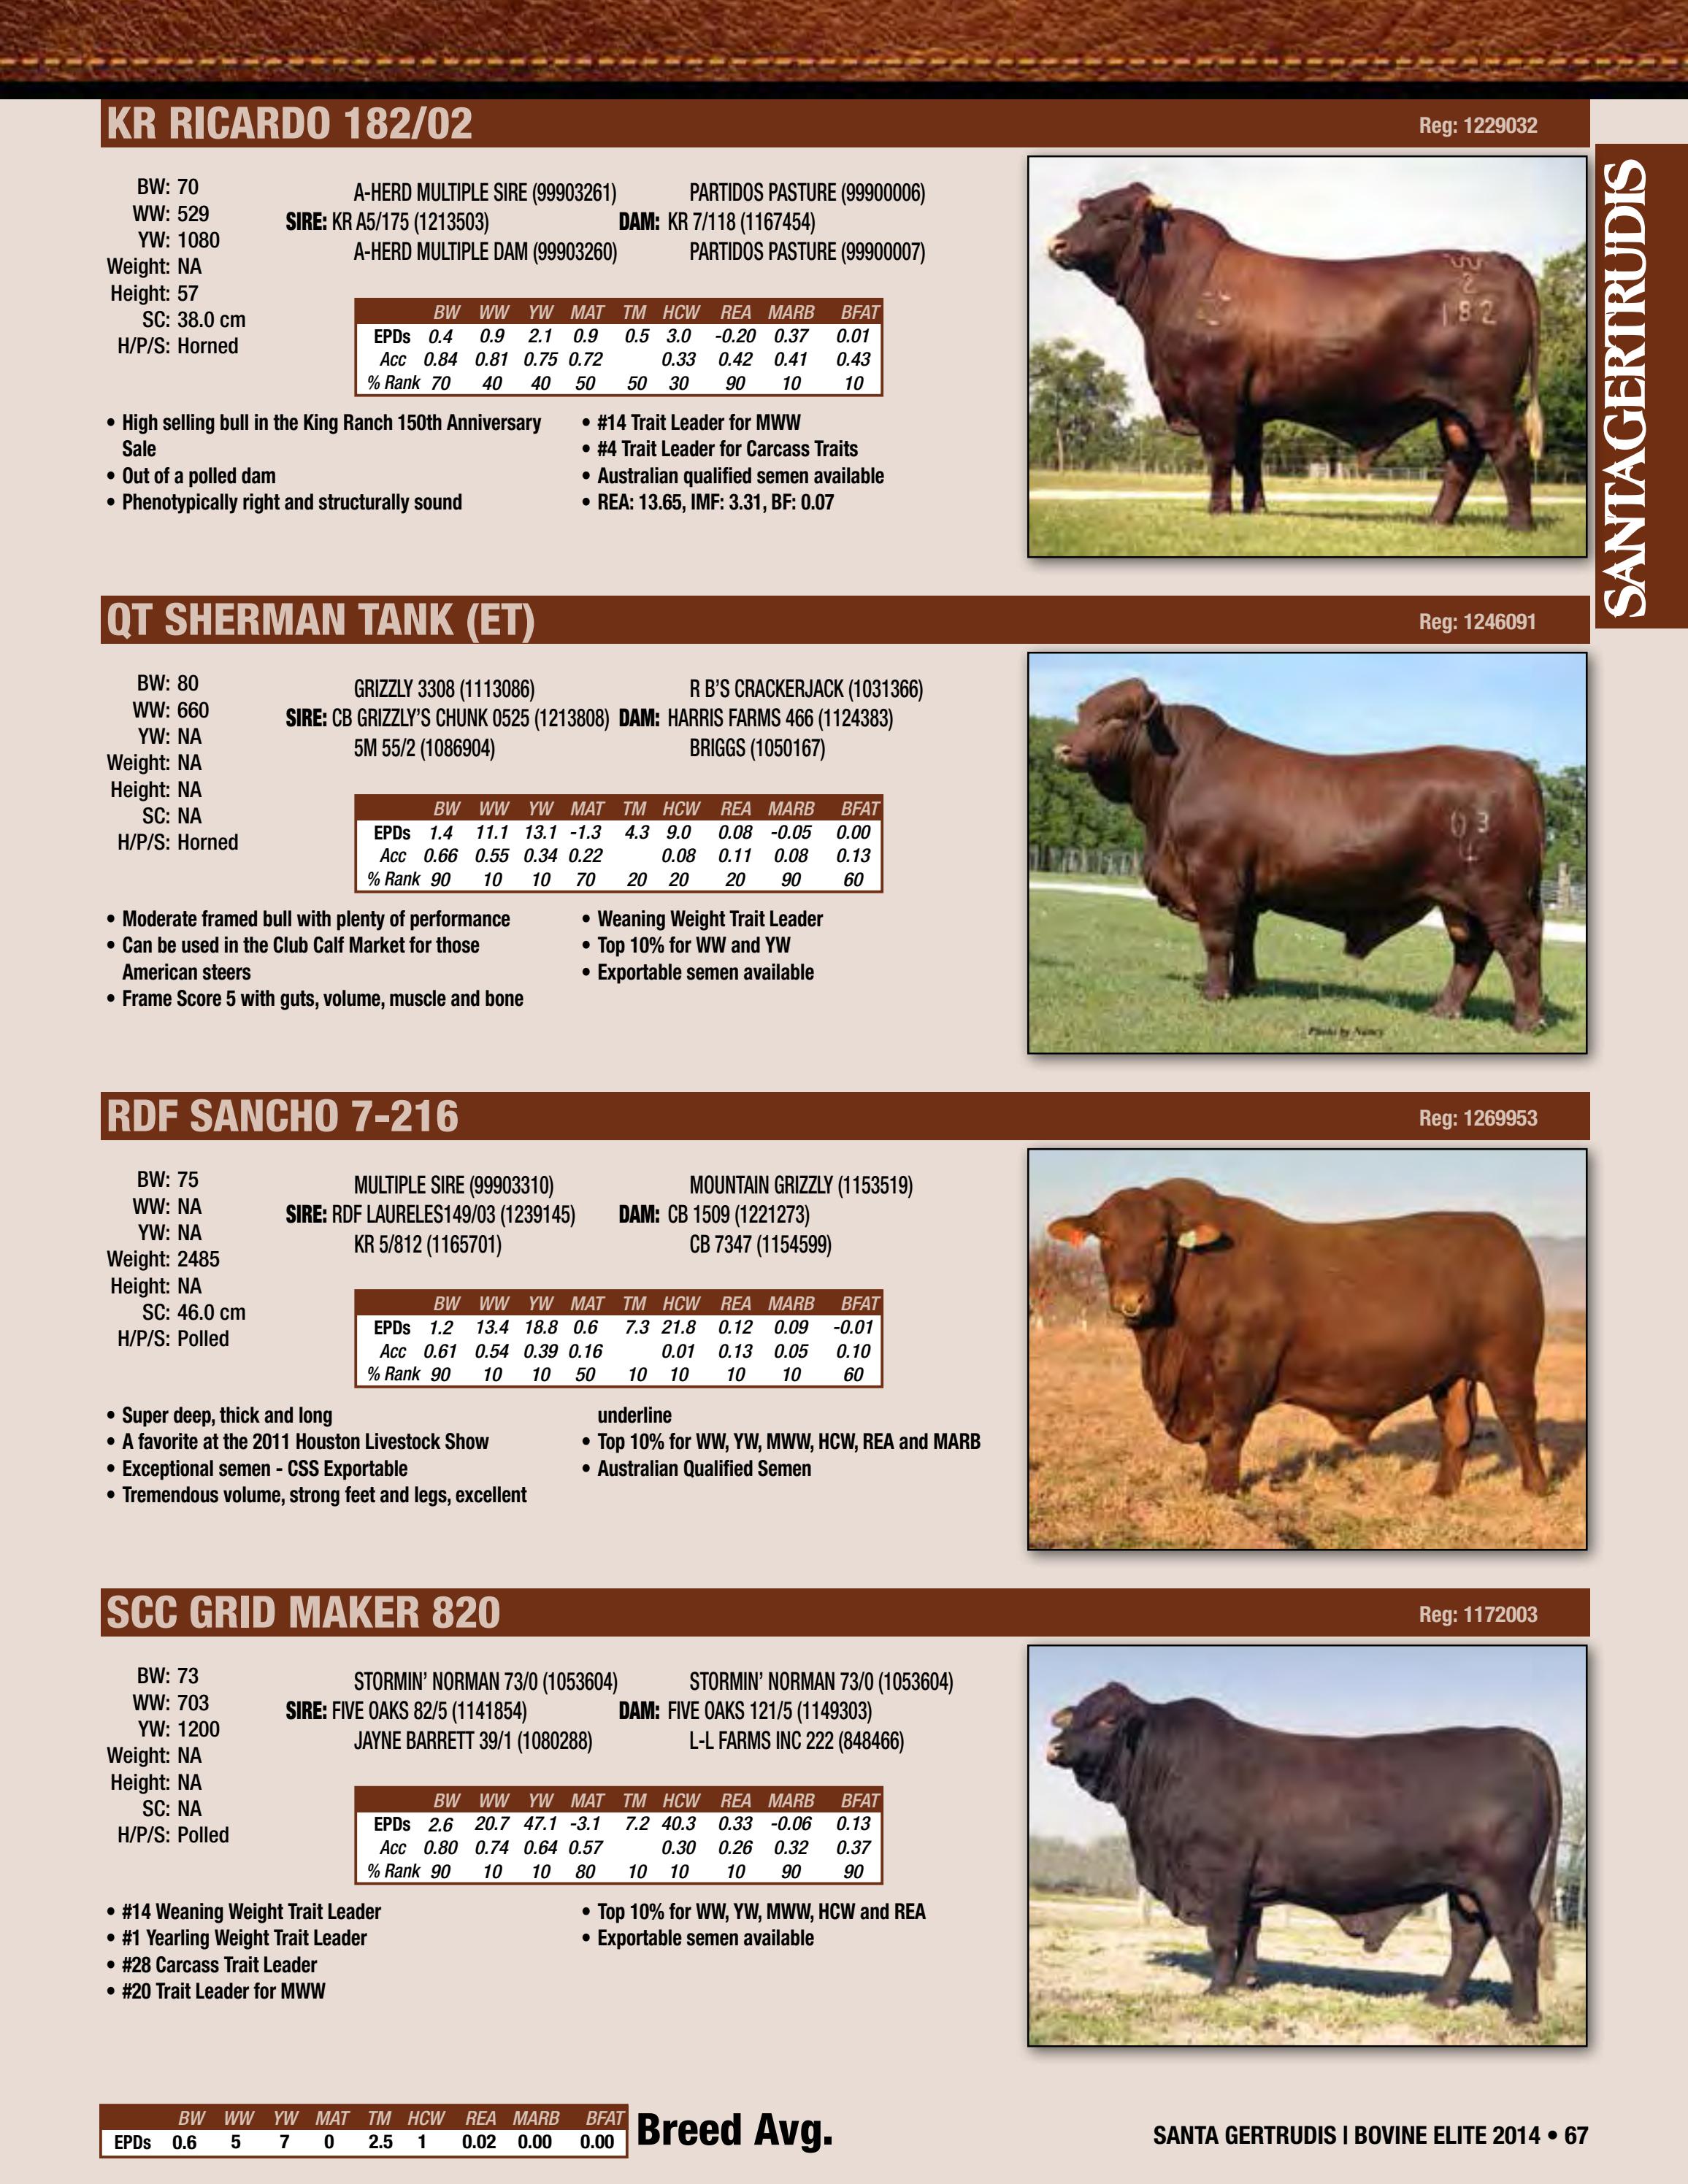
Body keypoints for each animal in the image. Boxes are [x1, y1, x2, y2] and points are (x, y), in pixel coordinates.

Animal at [1045, 1178, 1548, 1497]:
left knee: (1519, 1419)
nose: (1131, 1298)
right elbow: (1211, 1441)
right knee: (1458, 1428)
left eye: (1162, 1240)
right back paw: (1441, 1492)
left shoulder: (1240, 1370)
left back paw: (1535, 1489)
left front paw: (1221, 1494)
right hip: (1450, 1373)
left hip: (1510, 1363)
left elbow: (1226, 1435)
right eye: (1106, 1238)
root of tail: (1504, 1231)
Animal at [1045, 1682, 1562, 2024]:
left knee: (1518, 1934)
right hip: (1465, 1887)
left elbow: (1222, 1936)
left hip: (1502, 1881)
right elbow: (1249, 1935)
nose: (1054, 1747)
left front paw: (1215, 1990)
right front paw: (1242, 1983)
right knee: (1469, 1936)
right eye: (1077, 1715)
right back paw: (1440, 2000)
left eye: (1109, 1719)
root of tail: (1518, 1737)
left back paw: (1523, 2017)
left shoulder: (1223, 1872)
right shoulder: (1249, 1885)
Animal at [1046, 183, 1544, 528]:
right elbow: (1250, 458)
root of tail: (1497, 259)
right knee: (1462, 457)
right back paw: (1437, 521)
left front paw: (1218, 510)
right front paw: (1256, 510)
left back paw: (1519, 526)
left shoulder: (1213, 391)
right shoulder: (1247, 406)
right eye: (1086, 209)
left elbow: (1221, 454)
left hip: (1486, 399)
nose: (1057, 245)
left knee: (1509, 449)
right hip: (1450, 407)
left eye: (1115, 215)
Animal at [1054, 678, 1546, 1031]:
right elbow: (1244, 937)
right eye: (1083, 711)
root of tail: (1515, 765)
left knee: (1518, 945)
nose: (1063, 748)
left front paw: (1215, 994)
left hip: (1497, 893)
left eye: (1117, 717)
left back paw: (1526, 1022)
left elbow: (1218, 938)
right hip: (1460, 901)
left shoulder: (1214, 875)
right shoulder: (1245, 889)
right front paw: (1244, 987)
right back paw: (1444, 1010)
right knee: (1472, 950)